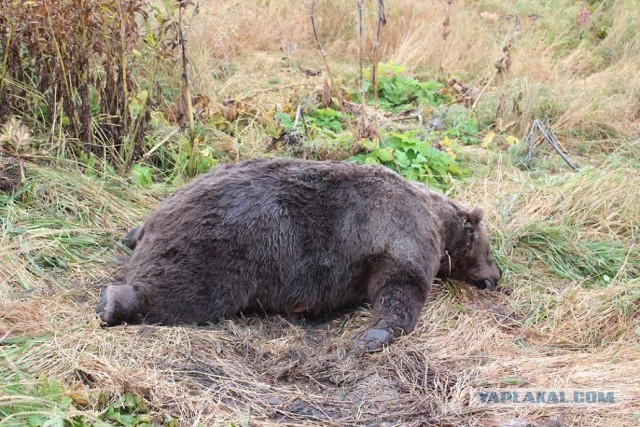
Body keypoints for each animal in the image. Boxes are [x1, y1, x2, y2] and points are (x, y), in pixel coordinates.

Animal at [99, 158, 500, 352]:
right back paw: (112, 302)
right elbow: (402, 287)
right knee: (189, 292)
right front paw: (373, 336)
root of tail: (164, 215)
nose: (494, 278)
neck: (438, 219)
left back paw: (130, 235)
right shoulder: (403, 234)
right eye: (488, 246)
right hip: (221, 249)